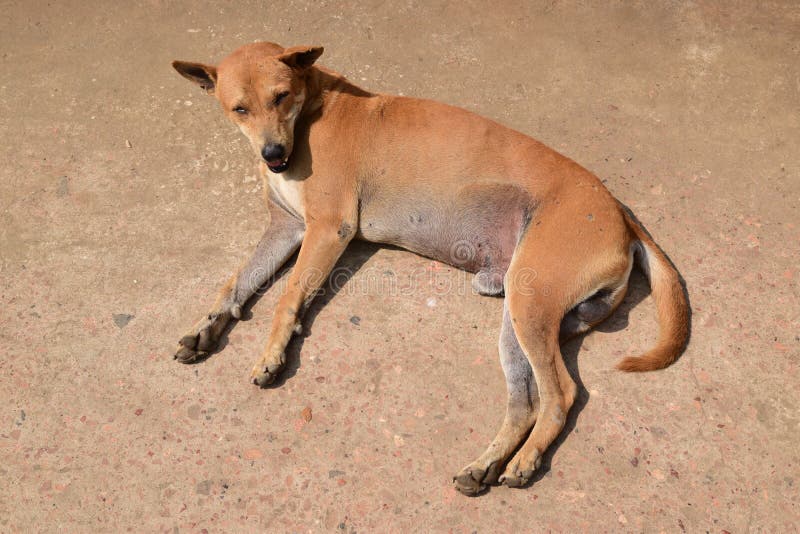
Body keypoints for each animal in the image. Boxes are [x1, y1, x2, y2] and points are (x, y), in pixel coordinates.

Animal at [172, 43, 692, 498]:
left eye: (281, 96)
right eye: (239, 109)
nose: (273, 154)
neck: (312, 107)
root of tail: (621, 214)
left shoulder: (327, 230)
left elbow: (285, 298)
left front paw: (273, 353)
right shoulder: (286, 228)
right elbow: (236, 282)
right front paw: (207, 326)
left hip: (531, 304)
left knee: (561, 394)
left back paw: (525, 461)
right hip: (522, 317)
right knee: (525, 403)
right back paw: (486, 465)